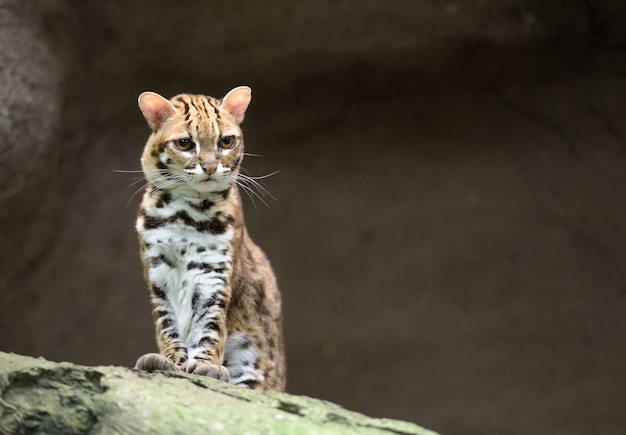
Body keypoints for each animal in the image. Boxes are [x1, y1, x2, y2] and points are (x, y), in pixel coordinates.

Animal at [134, 87, 286, 394]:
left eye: (226, 141)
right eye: (184, 143)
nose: (210, 166)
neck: (184, 211)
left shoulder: (212, 272)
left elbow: (210, 324)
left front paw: (206, 365)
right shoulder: (158, 275)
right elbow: (167, 324)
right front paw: (171, 361)